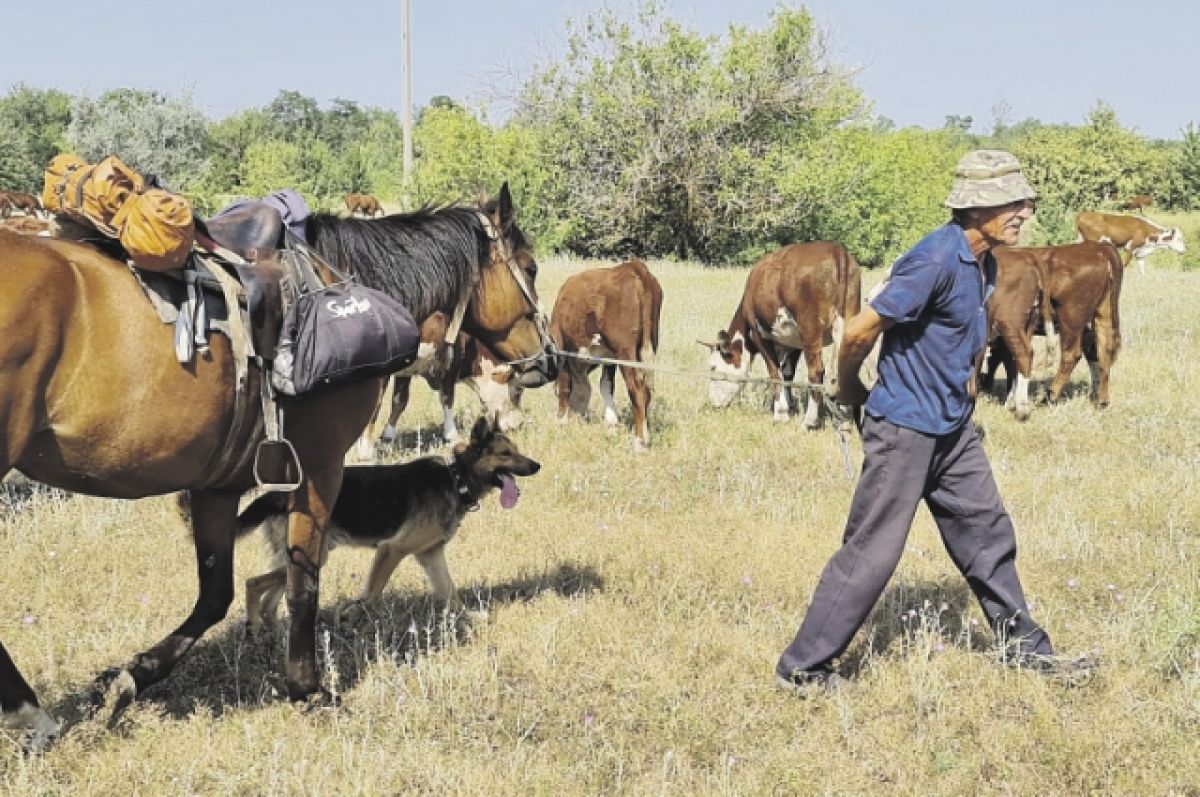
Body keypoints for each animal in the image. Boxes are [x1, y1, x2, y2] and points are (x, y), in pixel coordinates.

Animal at [238, 417, 540, 628]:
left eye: (516, 450)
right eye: (505, 453)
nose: (537, 466)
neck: (456, 478)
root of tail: (278, 493)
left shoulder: (431, 555)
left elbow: (451, 593)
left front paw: (468, 616)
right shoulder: (392, 550)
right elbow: (372, 594)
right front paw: (351, 616)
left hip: (303, 558)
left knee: (269, 602)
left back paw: (275, 635)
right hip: (314, 557)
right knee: (253, 584)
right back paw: (254, 628)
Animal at [549, 260, 667, 451]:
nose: (579, 417)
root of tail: (631, 266)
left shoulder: (562, 348)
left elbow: (565, 387)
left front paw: (561, 421)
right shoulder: (609, 357)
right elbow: (605, 385)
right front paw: (612, 423)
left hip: (625, 351)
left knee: (637, 388)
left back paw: (639, 441)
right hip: (649, 346)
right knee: (647, 390)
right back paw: (645, 434)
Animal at [700, 242, 864, 429]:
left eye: (713, 367)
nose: (713, 403)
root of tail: (836, 250)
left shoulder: (759, 335)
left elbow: (774, 372)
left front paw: (780, 413)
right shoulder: (793, 341)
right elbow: (787, 372)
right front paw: (790, 405)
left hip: (809, 328)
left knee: (816, 370)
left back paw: (810, 421)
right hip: (850, 318)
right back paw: (845, 419)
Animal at [984, 242, 1123, 410]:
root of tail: (1099, 247)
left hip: (1070, 317)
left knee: (1071, 354)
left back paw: (1049, 397)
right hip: (1103, 312)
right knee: (1102, 350)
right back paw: (1101, 400)